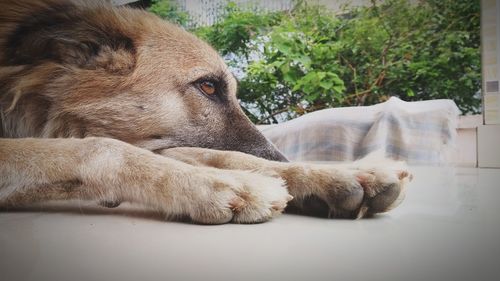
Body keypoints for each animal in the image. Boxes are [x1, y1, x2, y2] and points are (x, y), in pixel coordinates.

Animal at [0, 0, 412, 223]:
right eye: (208, 86)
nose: (281, 158)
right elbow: (101, 148)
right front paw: (219, 185)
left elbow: (217, 155)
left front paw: (333, 174)